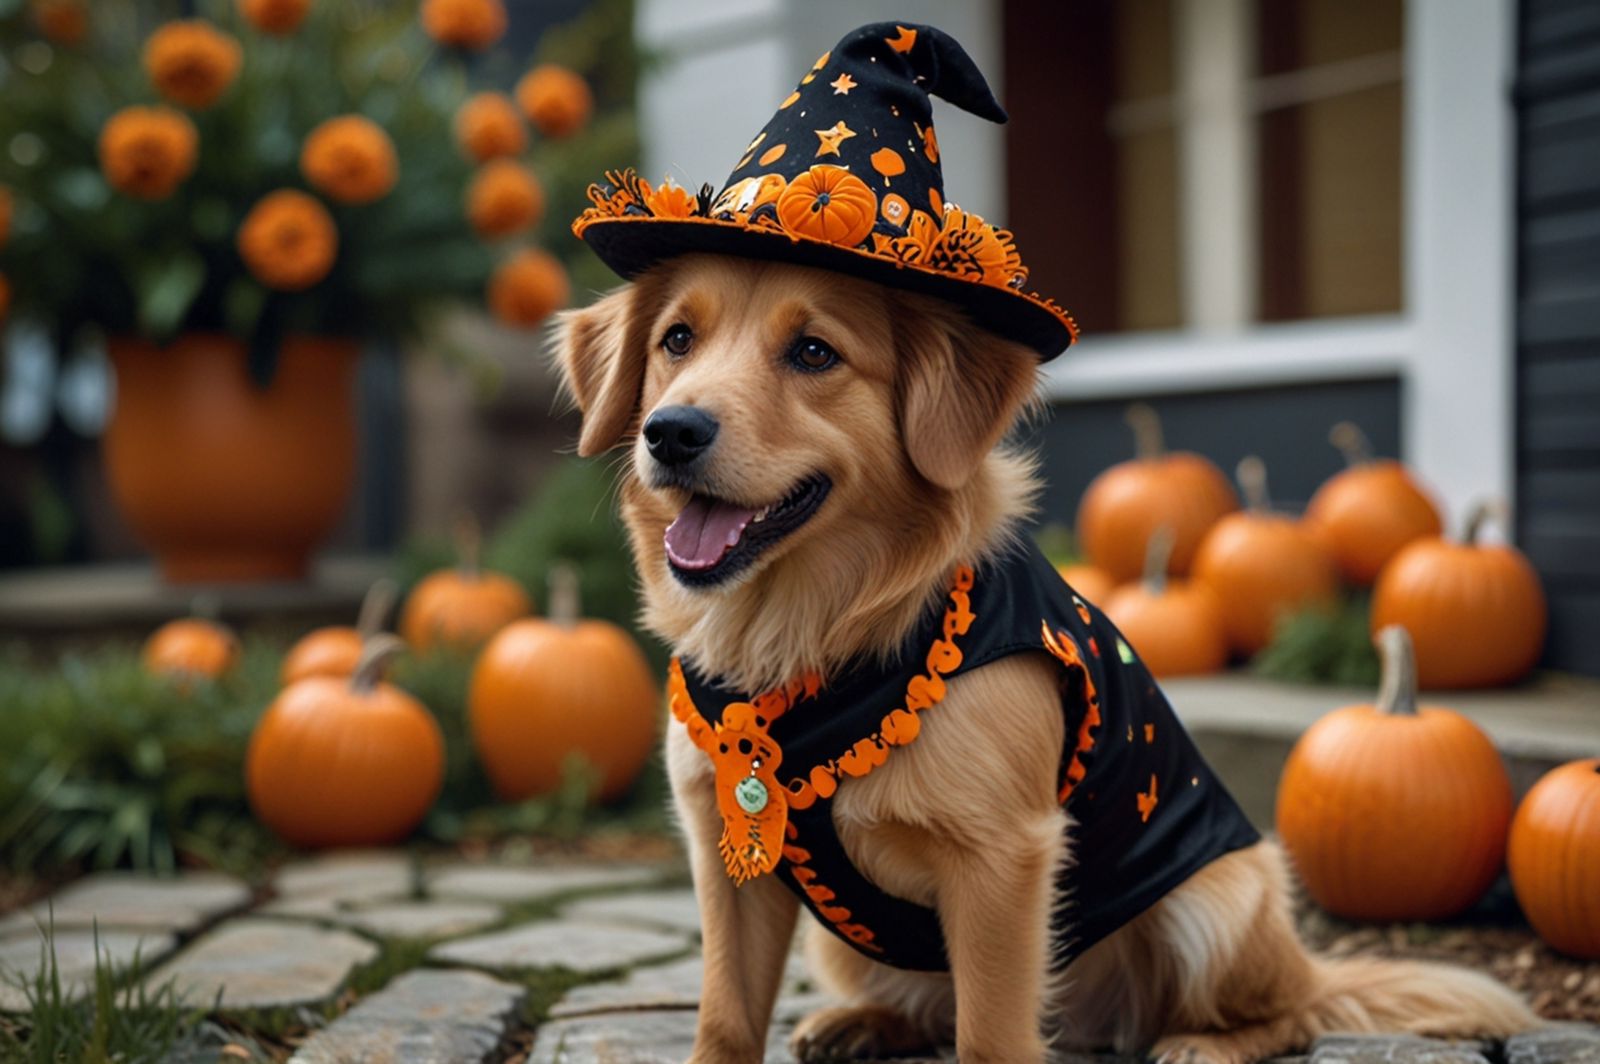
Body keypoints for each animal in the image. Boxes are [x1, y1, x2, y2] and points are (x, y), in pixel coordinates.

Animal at [553, 256, 1536, 1062]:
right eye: (677, 340)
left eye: (814, 353)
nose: (671, 432)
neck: (810, 643)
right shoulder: (725, 858)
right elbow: (725, 1018)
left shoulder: (1001, 859)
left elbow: (990, 1036)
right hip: (840, 940)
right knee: (927, 1010)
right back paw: (864, 1023)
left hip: (1217, 902)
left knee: (1287, 1013)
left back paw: (1204, 1044)